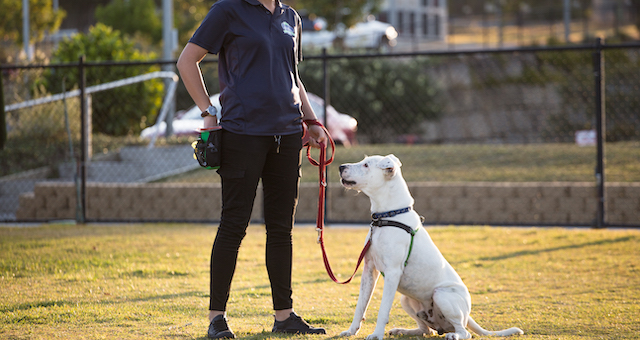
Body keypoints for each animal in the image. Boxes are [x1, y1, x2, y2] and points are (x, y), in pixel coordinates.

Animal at [338, 155, 524, 340]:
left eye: (366, 165)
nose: (340, 167)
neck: (388, 216)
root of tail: (467, 315)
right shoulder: (369, 270)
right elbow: (360, 305)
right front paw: (351, 331)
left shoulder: (392, 272)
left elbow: (383, 310)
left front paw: (376, 335)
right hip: (405, 300)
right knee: (426, 330)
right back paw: (403, 330)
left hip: (441, 295)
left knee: (464, 332)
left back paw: (454, 335)